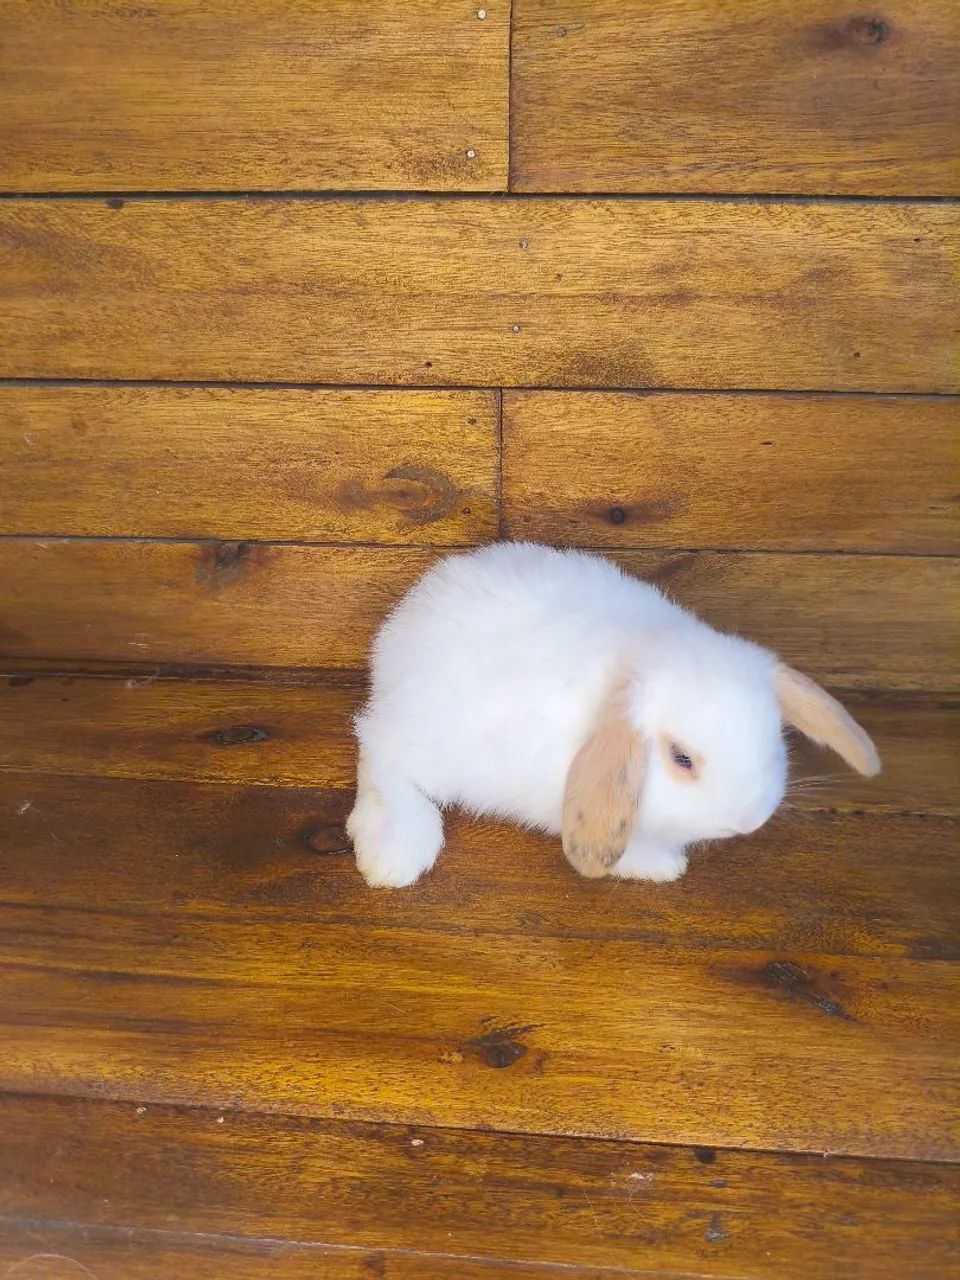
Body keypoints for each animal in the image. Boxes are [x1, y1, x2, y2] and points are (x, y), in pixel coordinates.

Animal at [348, 542, 880, 888]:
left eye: (774, 738)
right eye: (681, 759)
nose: (748, 820)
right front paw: (662, 864)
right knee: (380, 755)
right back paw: (393, 853)